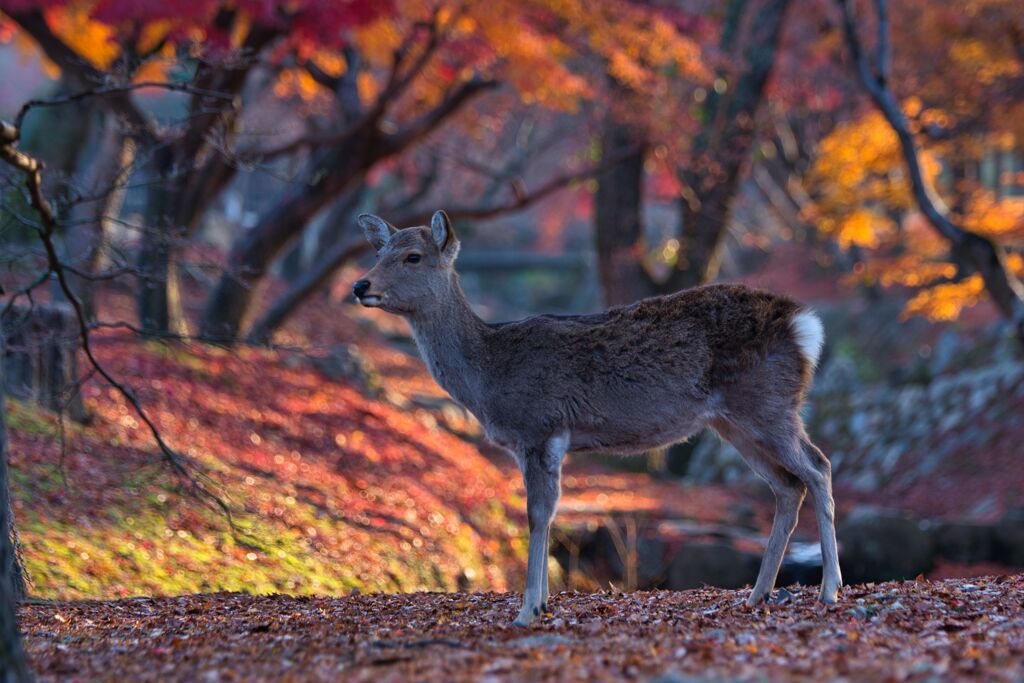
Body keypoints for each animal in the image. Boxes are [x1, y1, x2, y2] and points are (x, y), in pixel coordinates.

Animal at [352, 210, 839, 626]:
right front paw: (541, 603)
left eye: (413, 256)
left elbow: (537, 514)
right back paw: (757, 594)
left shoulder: (539, 428)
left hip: (768, 405)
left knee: (818, 466)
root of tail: (806, 325)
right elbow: (547, 514)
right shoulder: (543, 441)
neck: (489, 375)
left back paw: (829, 589)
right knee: (787, 485)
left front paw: (528, 611)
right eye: (378, 252)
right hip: (733, 422)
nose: (360, 285)